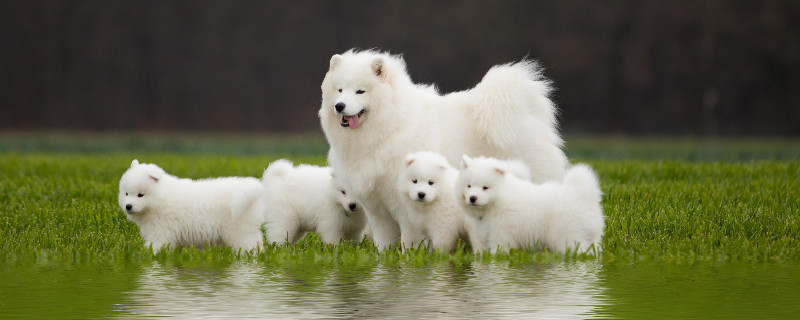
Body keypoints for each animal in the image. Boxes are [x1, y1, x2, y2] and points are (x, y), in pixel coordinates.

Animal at [117, 160, 266, 252]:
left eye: (140, 195)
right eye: (126, 193)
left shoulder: (161, 231)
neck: (161, 197)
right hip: (249, 230)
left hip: (239, 233)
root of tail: (254, 189)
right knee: (258, 240)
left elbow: (155, 247)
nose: (128, 206)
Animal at [318, 48, 568, 249]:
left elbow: (409, 241)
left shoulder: (406, 205)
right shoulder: (377, 207)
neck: (389, 125)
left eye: (360, 91)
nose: (339, 106)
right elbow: (383, 244)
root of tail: (529, 111)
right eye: (339, 90)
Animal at [456, 156, 608, 255]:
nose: (472, 198)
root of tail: (581, 195)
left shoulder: (501, 237)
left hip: (569, 235)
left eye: (485, 188)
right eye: (468, 186)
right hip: (591, 236)